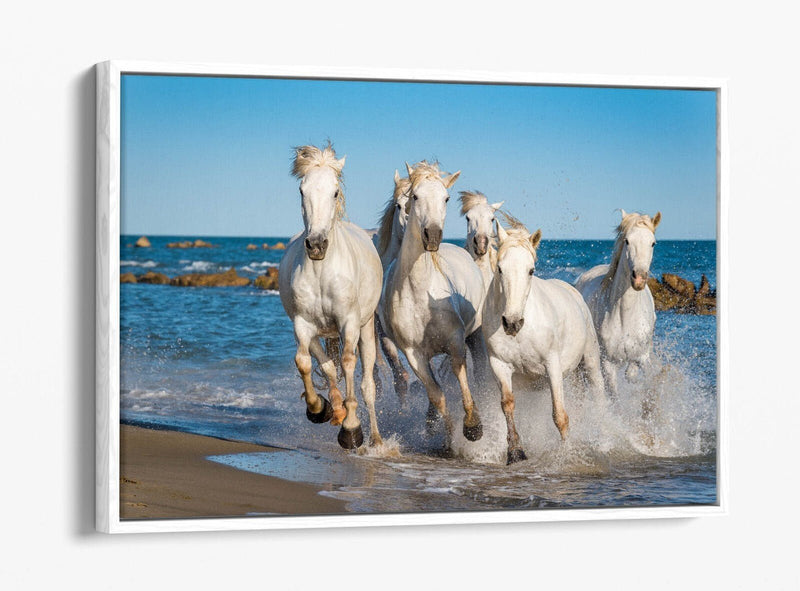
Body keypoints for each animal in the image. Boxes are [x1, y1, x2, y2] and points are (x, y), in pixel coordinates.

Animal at [278, 144, 384, 449]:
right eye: (302, 190)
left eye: (335, 192)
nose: (316, 245)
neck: (322, 271)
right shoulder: (302, 324)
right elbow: (305, 363)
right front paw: (319, 409)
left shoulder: (349, 322)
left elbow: (348, 363)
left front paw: (352, 429)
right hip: (318, 332)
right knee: (326, 366)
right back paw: (334, 408)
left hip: (366, 328)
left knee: (367, 384)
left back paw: (376, 439)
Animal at [379, 161, 486, 449]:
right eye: (414, 197)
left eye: (446, 198)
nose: (433, 236)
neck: (420, 293)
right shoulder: (414, 354)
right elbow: (437, 394)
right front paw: (449, 438)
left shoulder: (456, 340)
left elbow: (460, 374)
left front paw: (473, 426)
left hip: (476, 336)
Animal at [483, 219, 605, 464]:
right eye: (500, 268)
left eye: (531, 270)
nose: (512, 323)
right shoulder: (499, 364)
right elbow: (507, 405)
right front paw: (515, 453)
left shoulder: (552, 365)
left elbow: (560, 415)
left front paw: (567, 454)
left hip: (590, 361)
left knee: (599, 394)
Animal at [574, 210, 661, 399]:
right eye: (627, 241)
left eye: (653, 243)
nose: (639, 278)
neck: (625, 316)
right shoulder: (608, 363)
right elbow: (614, 396)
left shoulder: (643, 357)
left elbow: (639, 376)